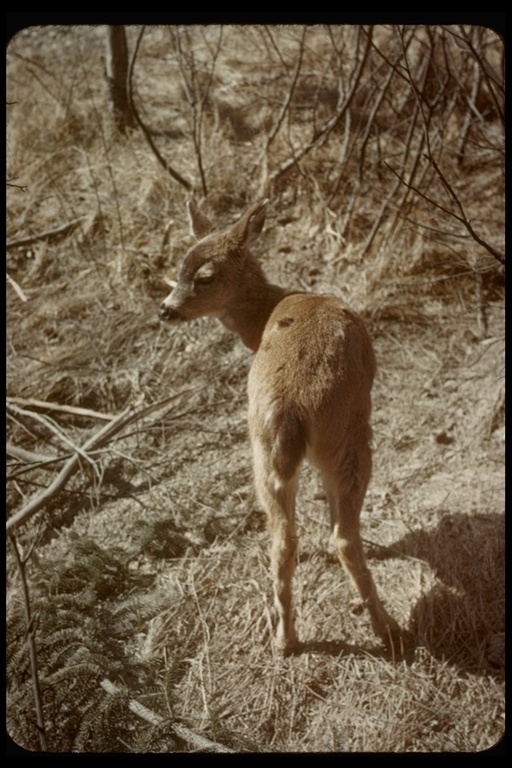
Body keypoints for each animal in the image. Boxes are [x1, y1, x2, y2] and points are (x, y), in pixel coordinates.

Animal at [158, 196, 402, 656]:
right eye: (178, 269)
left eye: (202, 276)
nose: (165, 309)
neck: (269, 310)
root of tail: (291, 405)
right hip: (347, 433)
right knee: (343, 535)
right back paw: (387, 628)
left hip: (263, 447)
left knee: (282, 539)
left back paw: (285, 638)